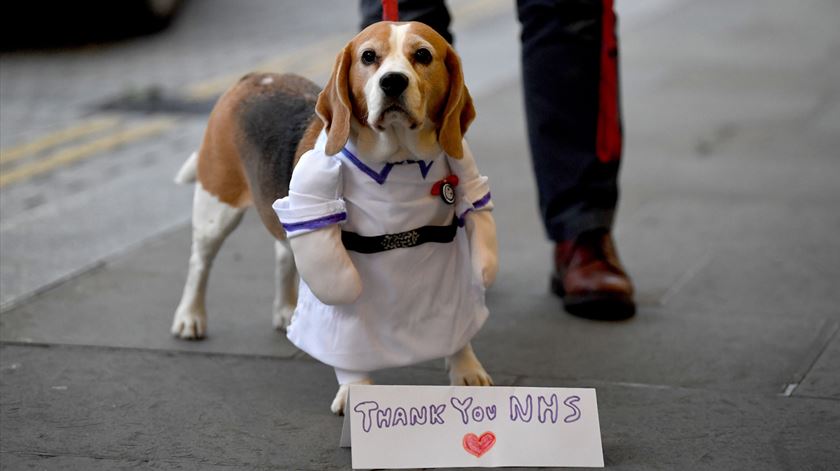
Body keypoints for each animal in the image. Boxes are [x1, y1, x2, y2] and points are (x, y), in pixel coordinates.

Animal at [173, 22, 496, 412]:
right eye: (368, 57)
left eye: (422, 55)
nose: (393, 82)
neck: (399, 163)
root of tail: (257, 76)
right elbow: (345, 339)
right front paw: (355, 389)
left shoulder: (448, 255)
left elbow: (457, 323)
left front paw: (466, 369)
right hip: (216, 208)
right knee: (199, 263)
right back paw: (190, 317)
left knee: (284, 251)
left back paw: (286, 309)